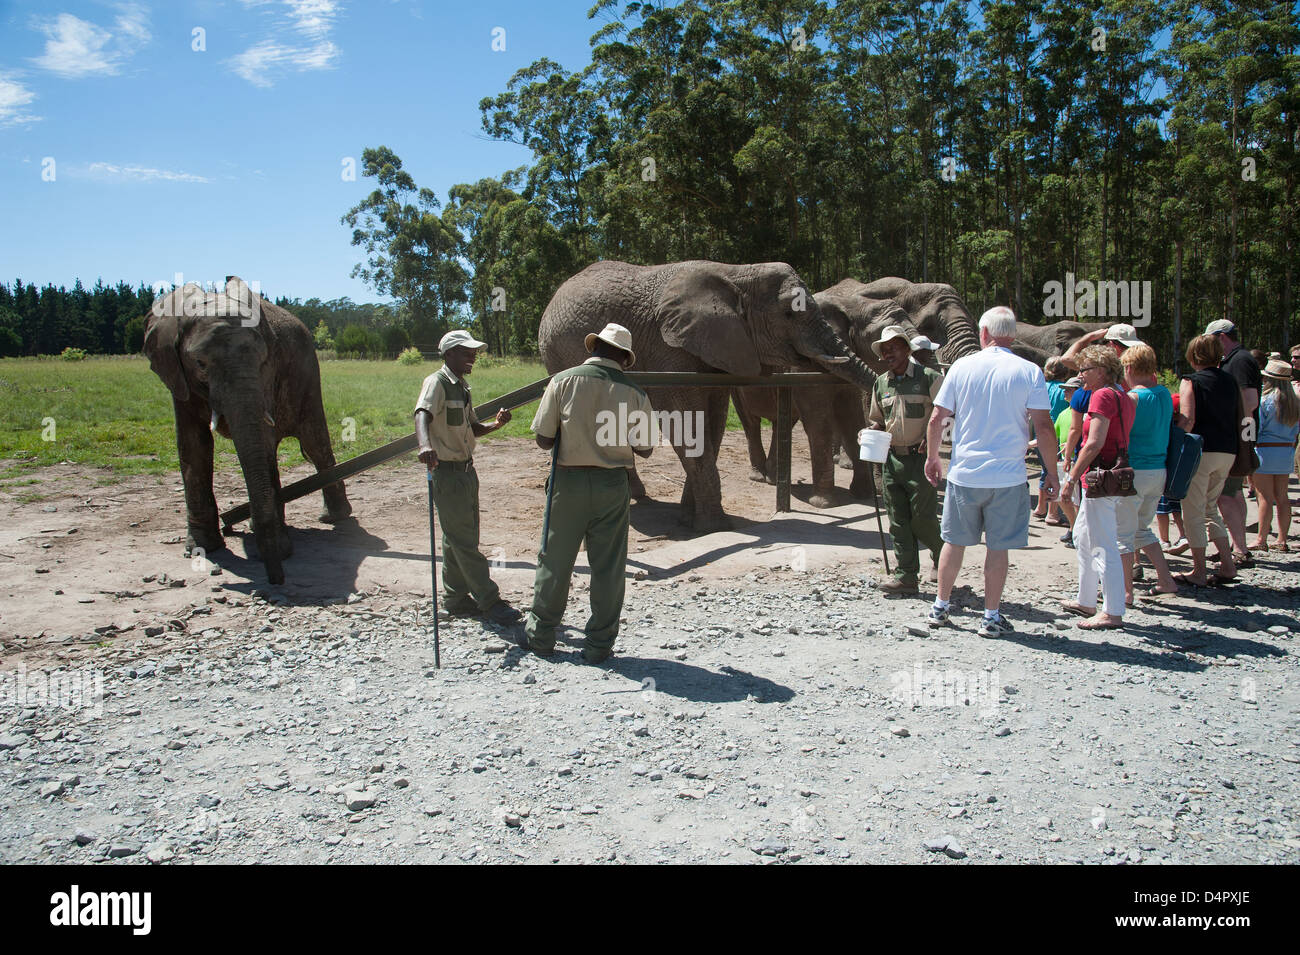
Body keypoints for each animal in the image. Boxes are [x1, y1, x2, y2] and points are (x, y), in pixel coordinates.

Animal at [144, 276, 351, 587]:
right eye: (200, 364)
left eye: (263, 359)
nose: (277, 580)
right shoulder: (177, 377)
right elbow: (193, 444)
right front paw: (202, 549)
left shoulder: (267, 375)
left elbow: (261, 440)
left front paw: (279, 549)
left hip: (308, 377)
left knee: (315, 443)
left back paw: (332, 518)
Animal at [533, 261, 878, 530]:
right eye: (788, 314)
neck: (736, 273)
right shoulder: (668, 346)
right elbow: (684, 419)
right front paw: (715, 526)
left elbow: (712, 421)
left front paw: (690, 520)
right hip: (558, 355)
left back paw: (634, 495)